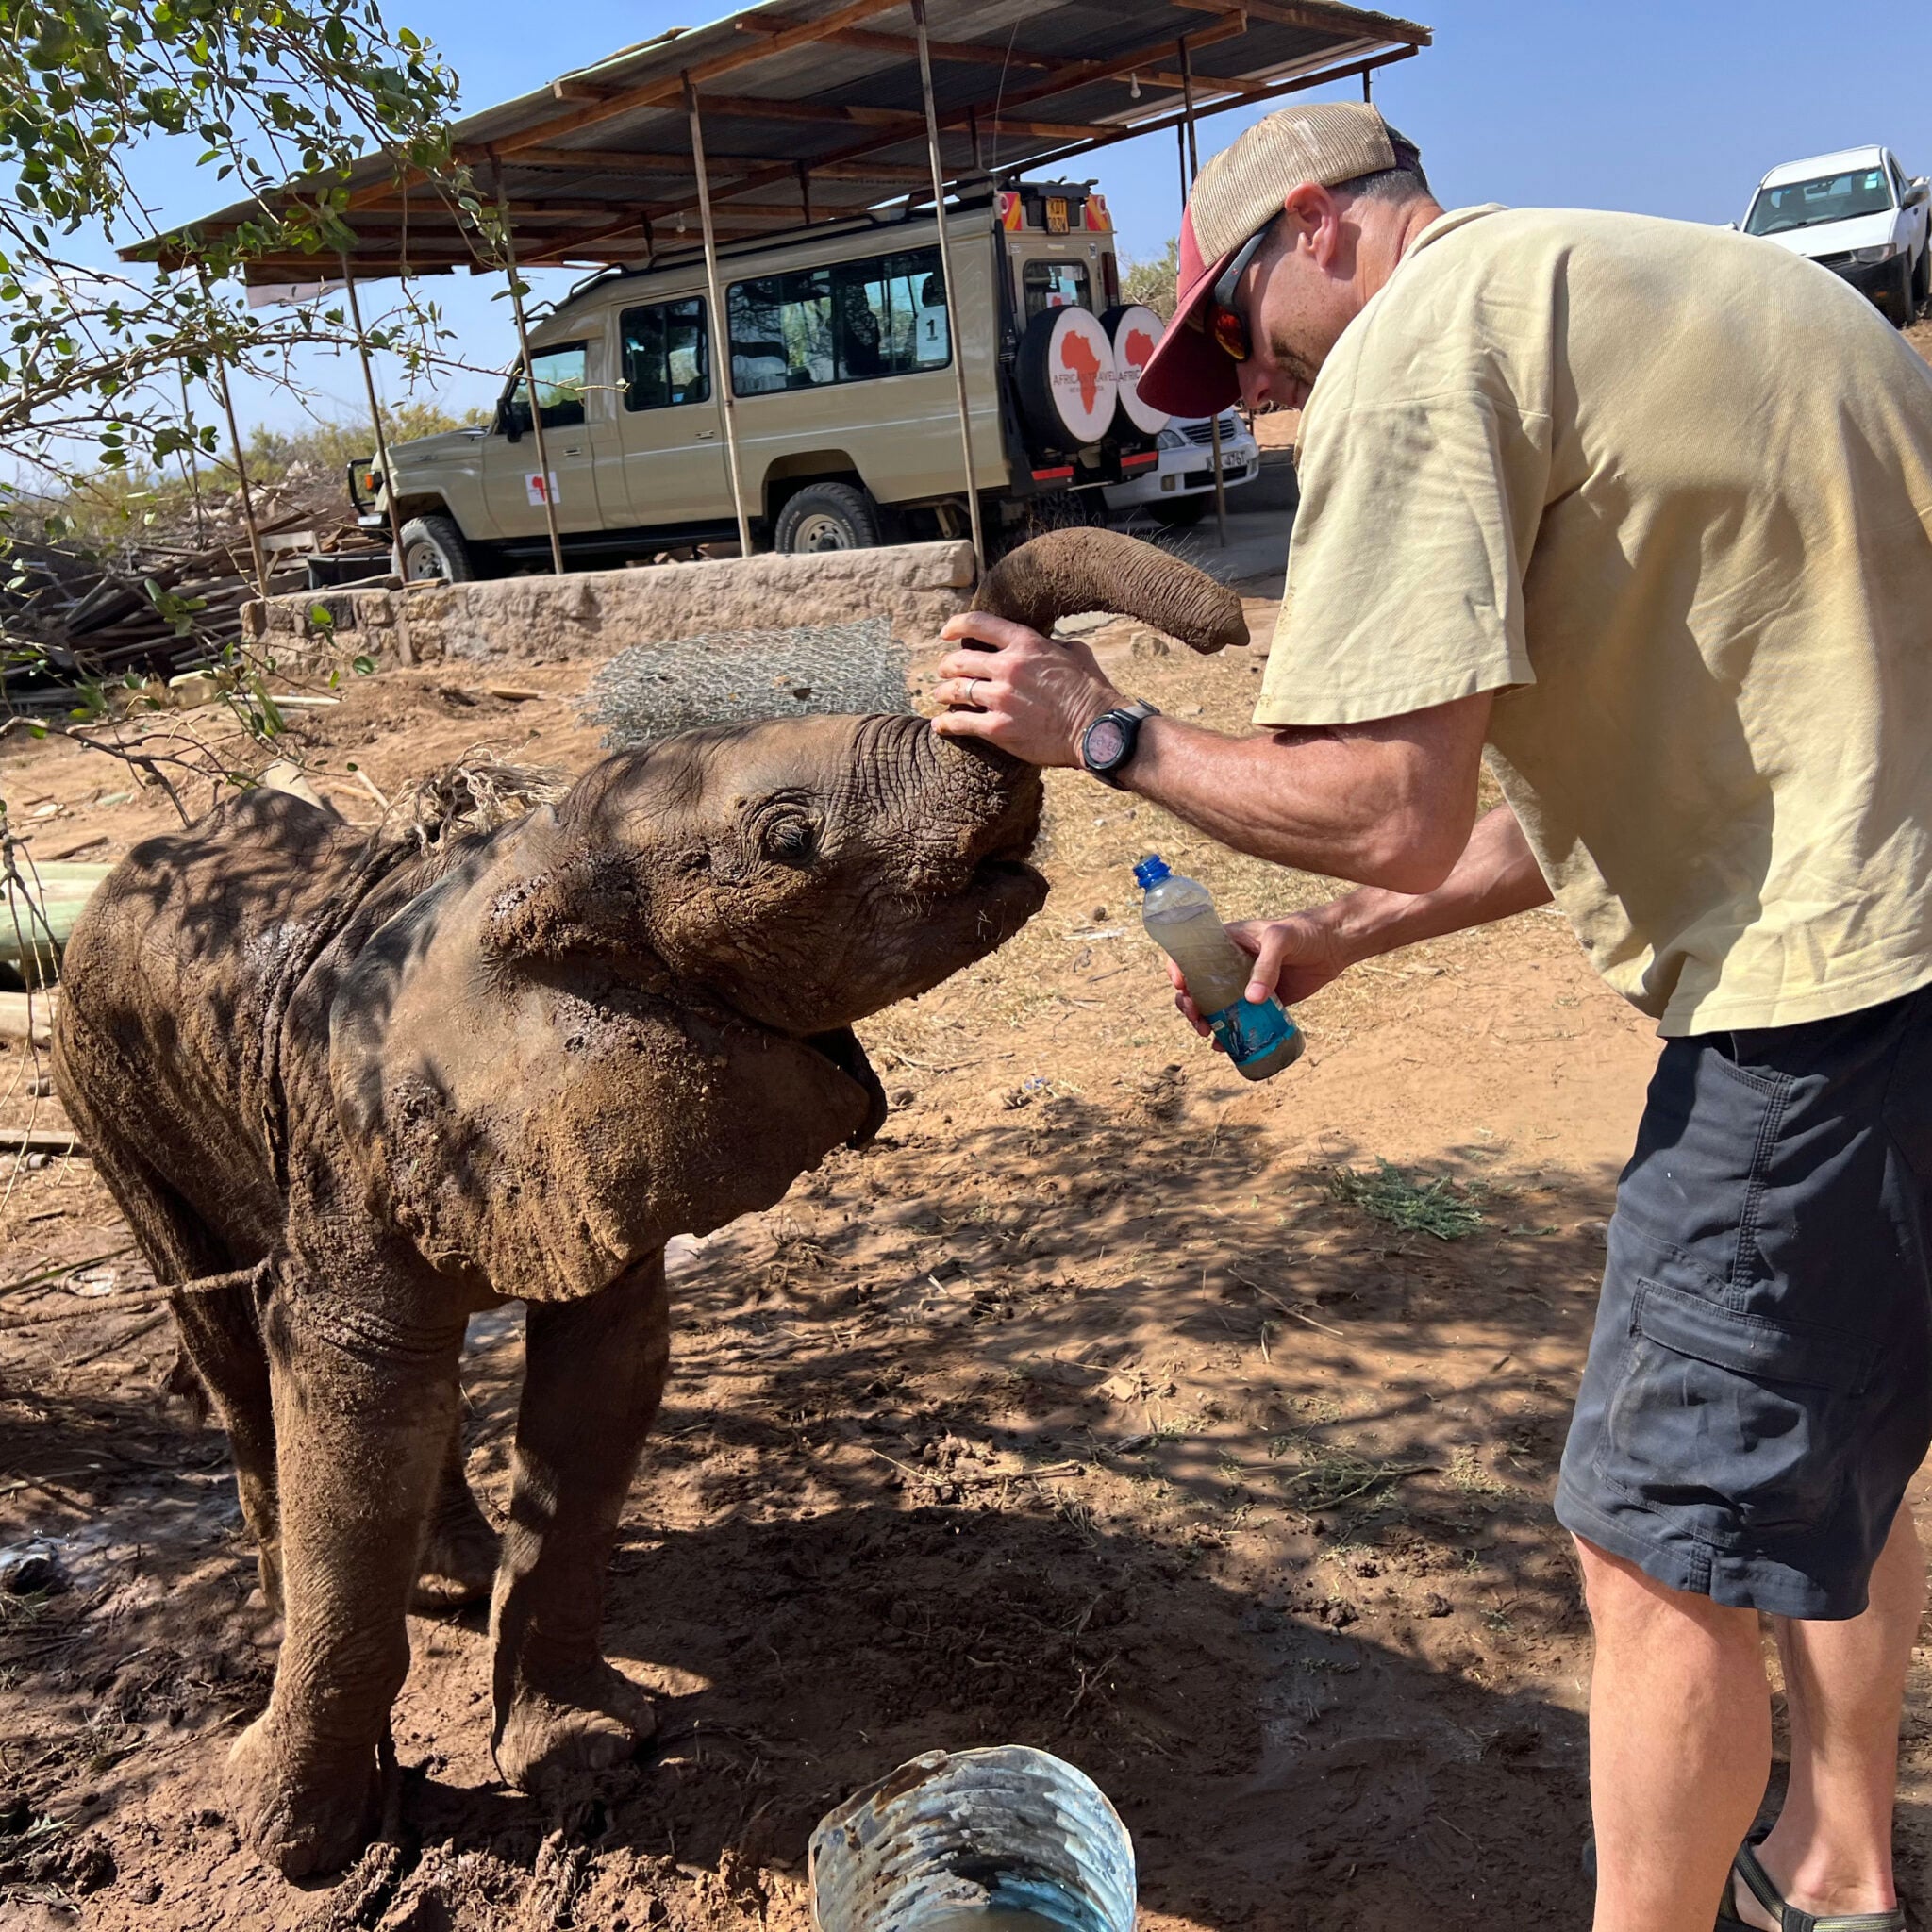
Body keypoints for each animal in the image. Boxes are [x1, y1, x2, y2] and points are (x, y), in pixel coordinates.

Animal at [49, 531, 1244, 1877]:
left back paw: (453, 1578)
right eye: (788, 840)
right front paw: (290, 1841)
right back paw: (287, 1596)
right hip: (99, 1082)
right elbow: (349, 1396)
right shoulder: (352, 1137)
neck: (517, 872)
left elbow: (599, 1381)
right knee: (224, 1336)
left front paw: (590, 1756)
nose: (1230, 626)